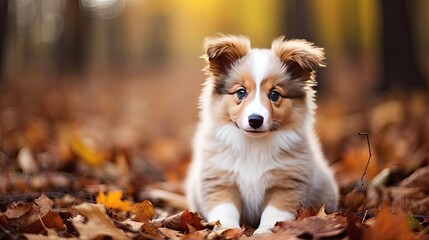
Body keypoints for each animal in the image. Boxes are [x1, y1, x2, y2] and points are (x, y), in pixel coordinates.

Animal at [186, 34, 338, 233]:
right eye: (241, 92)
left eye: (274, 95)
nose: (255, 120)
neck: (253, 145)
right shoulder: (219, 181)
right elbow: (224, 210)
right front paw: (226, 229)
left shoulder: (287, 184)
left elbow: (275, 213)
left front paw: (266, 231)